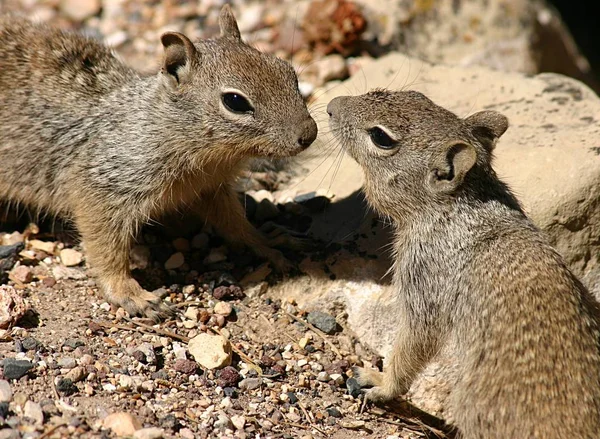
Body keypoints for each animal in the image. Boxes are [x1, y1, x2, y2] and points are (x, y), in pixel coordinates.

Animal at [0, 5, 318, 322]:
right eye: (235, 102)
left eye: (287, 71)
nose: (309, 133)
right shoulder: (104, 185)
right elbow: (105, 246)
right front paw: (129, 293)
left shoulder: (211, 189)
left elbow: (235, 224)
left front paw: (266, 242)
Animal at [328, 90, 600, 439]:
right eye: (417, 94)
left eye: (381, 137)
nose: (331, 106)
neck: (460, 208)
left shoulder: (424, 282)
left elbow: (414, 344)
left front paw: (380, 383)